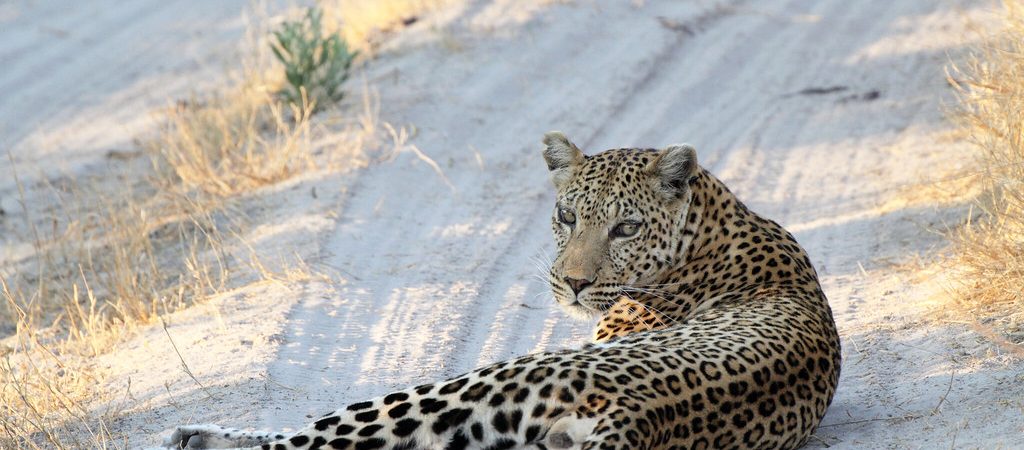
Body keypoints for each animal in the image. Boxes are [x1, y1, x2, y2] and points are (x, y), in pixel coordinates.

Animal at [164, 131, 841, 450]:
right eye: (567, 216)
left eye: (626, 227)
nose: (574, 283)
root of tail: (643, 416)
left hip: (466, 387)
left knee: (312, 438)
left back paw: (194, 435)